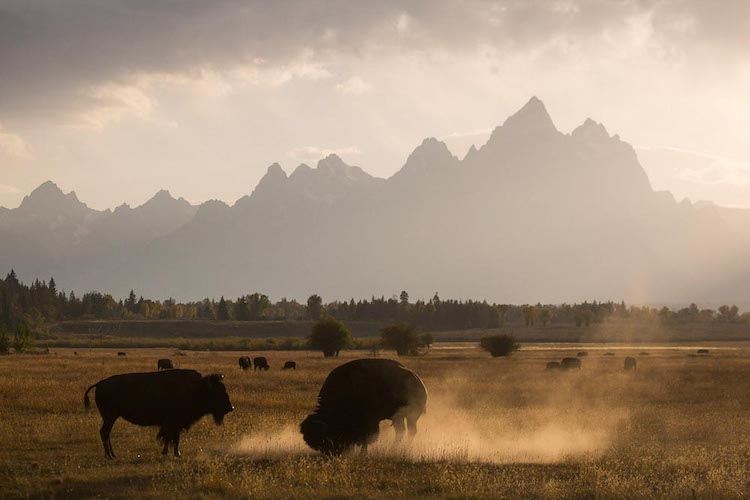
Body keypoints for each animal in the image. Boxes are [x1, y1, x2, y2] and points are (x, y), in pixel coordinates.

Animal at [83, 370, 234, 458]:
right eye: (218, 392)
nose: (231, 407)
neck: (198, 388)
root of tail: (100, 383)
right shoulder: (173, 423)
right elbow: (172, 438)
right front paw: (176, 454)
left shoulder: (173, 424)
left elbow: (172, 438)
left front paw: (170, 453)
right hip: (110, 416)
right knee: (104, 432)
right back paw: (109, 456)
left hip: (110, 417)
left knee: (106, 433)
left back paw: (113, 455)